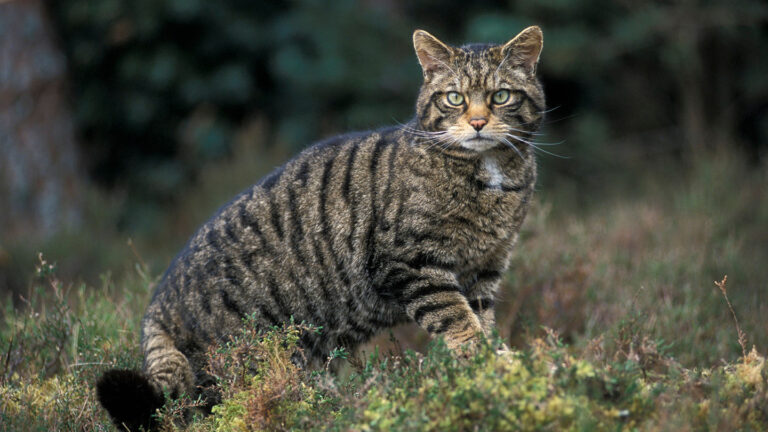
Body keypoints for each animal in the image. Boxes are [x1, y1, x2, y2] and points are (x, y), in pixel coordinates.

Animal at [97, 26, 544, 428]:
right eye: (455, 98)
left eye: (500, 96)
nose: (478, 122)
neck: (490, 179)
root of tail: (157, 306)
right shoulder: (410, 264)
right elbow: (458, 320)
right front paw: (488, 363)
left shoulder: (485, 270)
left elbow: (482, 320)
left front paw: (495, 364)